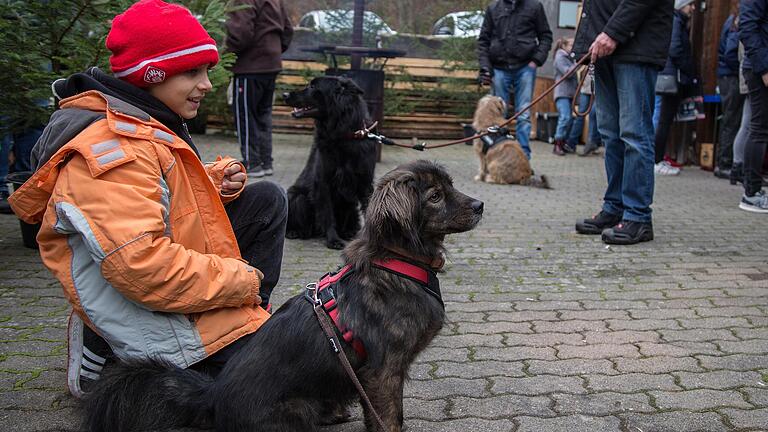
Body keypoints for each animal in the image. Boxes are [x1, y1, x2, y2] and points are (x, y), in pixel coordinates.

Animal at [82, 160, 480, 432]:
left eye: (451, 186)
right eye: (435, 196)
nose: (480, 206)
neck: (398, 262)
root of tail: (212, 394)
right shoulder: (383, 371)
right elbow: (390, 418)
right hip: (294, 411)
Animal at [284, 76, 376, 248]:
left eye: (313, 86)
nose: (284, 94)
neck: (343, 134)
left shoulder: (365, 183)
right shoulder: (323, 182)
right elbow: (327, 214)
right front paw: (333, 239)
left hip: (350, 205)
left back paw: (348, 232)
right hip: (297, 197)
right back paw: (296, 232)